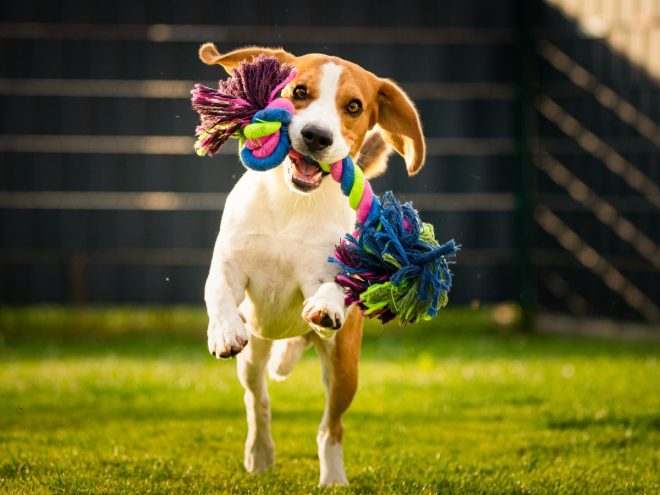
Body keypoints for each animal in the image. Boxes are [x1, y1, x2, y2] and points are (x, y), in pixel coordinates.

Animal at [199, 44, 426, 486]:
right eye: (299, 91)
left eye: (354, 106)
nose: (316, 136)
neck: (293, 203)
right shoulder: (230, 265)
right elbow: (218, 291)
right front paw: (224, 331)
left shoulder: (331, 270)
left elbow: (336, 284)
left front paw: (326, 304)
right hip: (254, 356)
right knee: (258, 399)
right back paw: (259, 454)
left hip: (344, 366)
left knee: (330, 426)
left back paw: (333, 477)